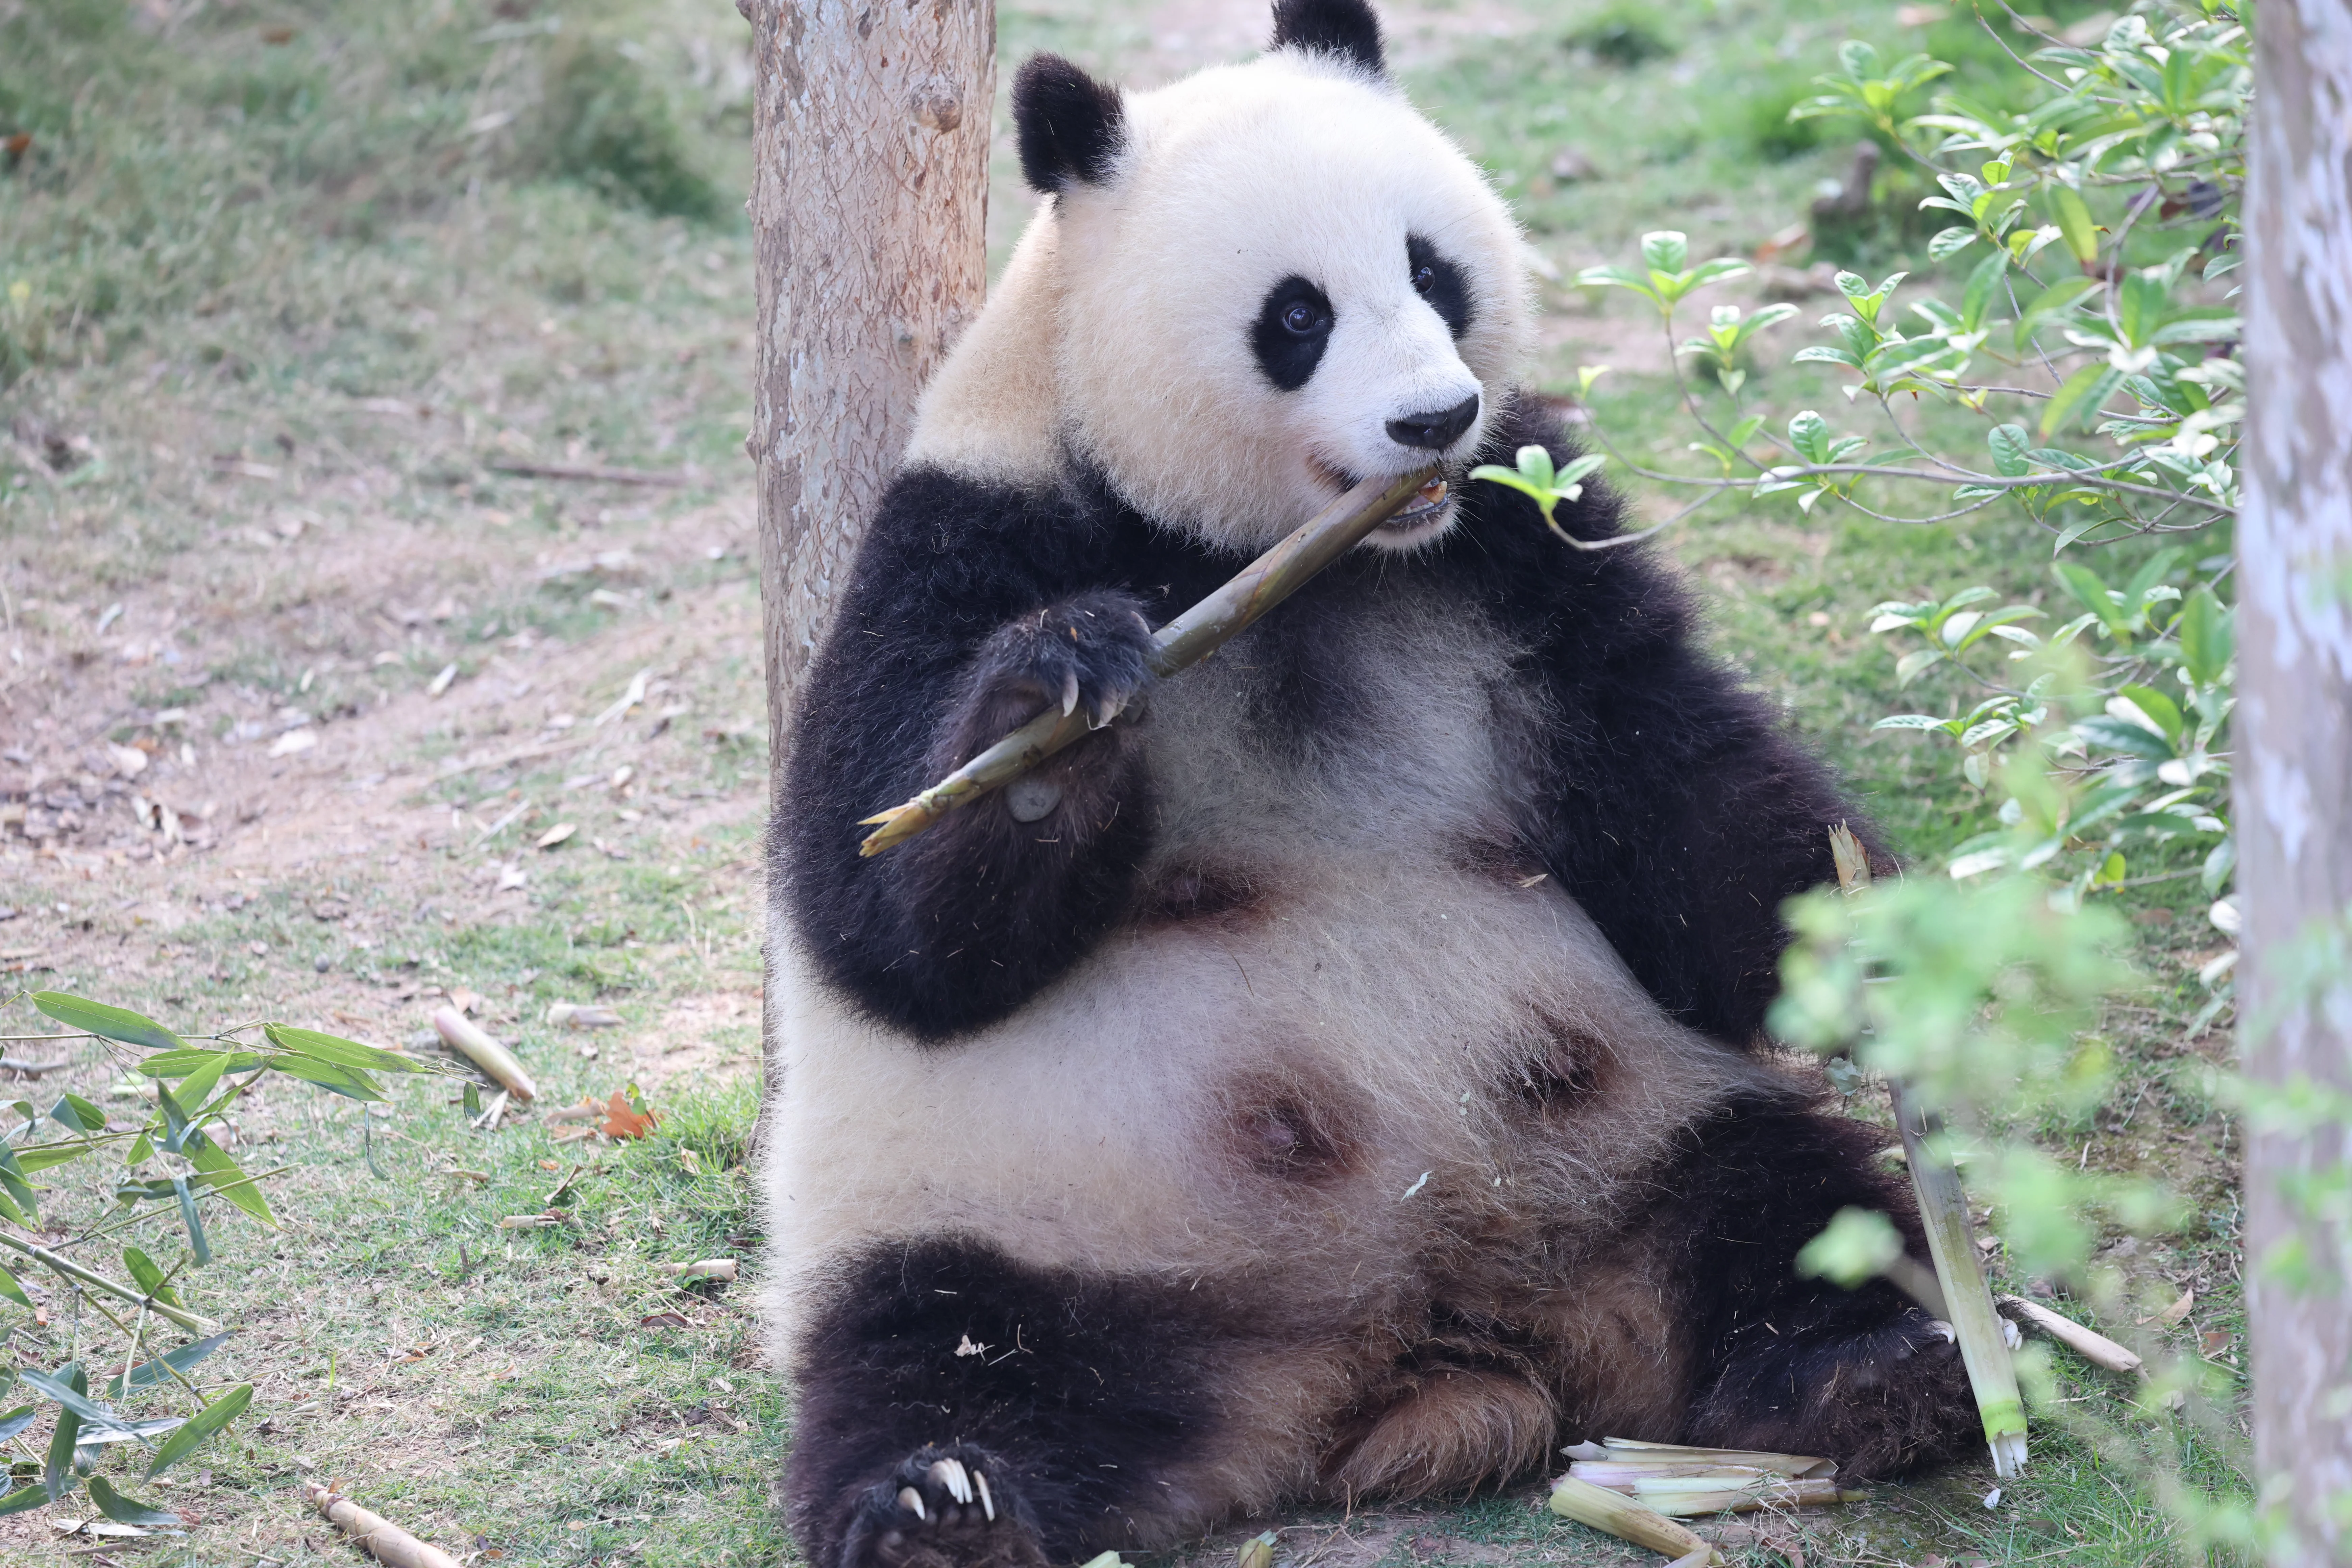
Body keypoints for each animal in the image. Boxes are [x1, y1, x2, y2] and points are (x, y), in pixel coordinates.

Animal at [766, 4, 1976, 1566]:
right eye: (1296, 317)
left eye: (1430, 269)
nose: (1433, 418)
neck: (1297, 559)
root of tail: (1425, 1337)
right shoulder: (963, 537)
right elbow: (874, 913)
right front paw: (1058, 717)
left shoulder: (1527, 541)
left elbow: (1676, 791)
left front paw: (1896, 959)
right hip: (1024, 1217)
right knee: (942, 1348)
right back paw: (942, 1502)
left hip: (1645, 1129)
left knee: (1788, 1205)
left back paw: (1874, 1369)